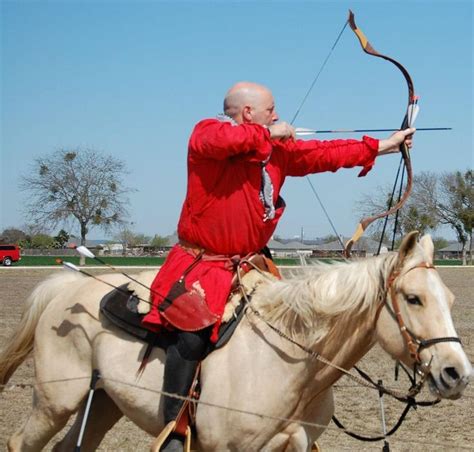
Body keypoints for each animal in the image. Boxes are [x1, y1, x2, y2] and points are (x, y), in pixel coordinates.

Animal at [0, 233, 470, 452]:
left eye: (449, 299)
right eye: (413, 298)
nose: (457, 373)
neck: (290, 363)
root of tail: (63, 288)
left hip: (102, 402)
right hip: (56, 401)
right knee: (21, 443)